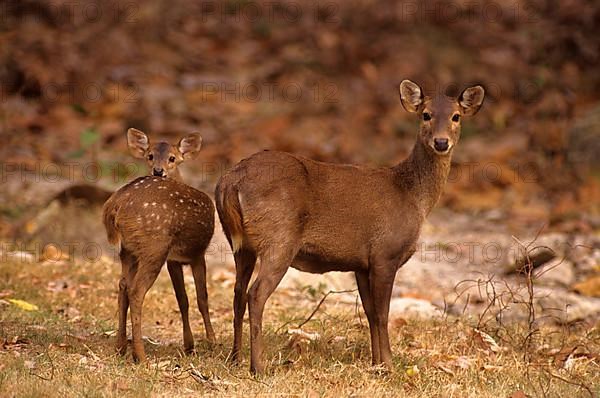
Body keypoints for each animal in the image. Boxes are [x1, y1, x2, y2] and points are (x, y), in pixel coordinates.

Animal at [103, 129, 216, 362]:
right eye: (150, 156)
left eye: (173, 158)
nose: (158, 170)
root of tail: (116, 203)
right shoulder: (197, 254)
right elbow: (202, 298)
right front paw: (211, 342)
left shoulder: (174, 260)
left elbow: (183, 299)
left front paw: (189, 345)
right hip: (154, 247)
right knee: (136, 291)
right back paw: (140, 356)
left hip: (128, 250)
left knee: (123, 285)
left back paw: (120, 347)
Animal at [218, 80, 486, 374]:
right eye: (425, 114)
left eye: (456, 116)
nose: (441, 142)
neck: (413, 196)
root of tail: (231, 181)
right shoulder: (385, 253)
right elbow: (383, 313)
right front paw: (388, 366)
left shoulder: (361, 263)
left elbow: (369, 313)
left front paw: (376, 362)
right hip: (279, 239)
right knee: (256, 294)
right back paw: (258, 367)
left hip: (240, 244)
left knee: (237, 292)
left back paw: (235, 357)